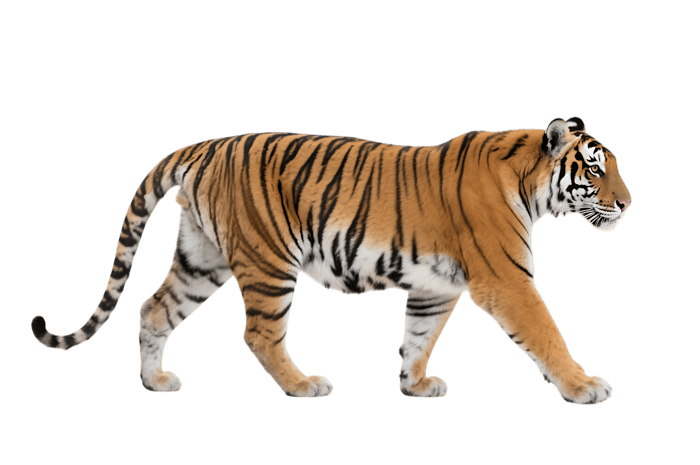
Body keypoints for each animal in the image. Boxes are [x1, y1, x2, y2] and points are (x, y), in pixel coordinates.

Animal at [30, 116, 632, 405]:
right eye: (595, 169)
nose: (629, 203)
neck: (530, 184)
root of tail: (206, 146)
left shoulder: (435, 288)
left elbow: (419, 338)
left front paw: (415, 385)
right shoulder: (507, 279)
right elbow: (547, 334)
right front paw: (584, 387)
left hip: (202, 259)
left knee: (154, 310)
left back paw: (155, 381)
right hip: (270, 261)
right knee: (259, 335)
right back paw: (302, 385)